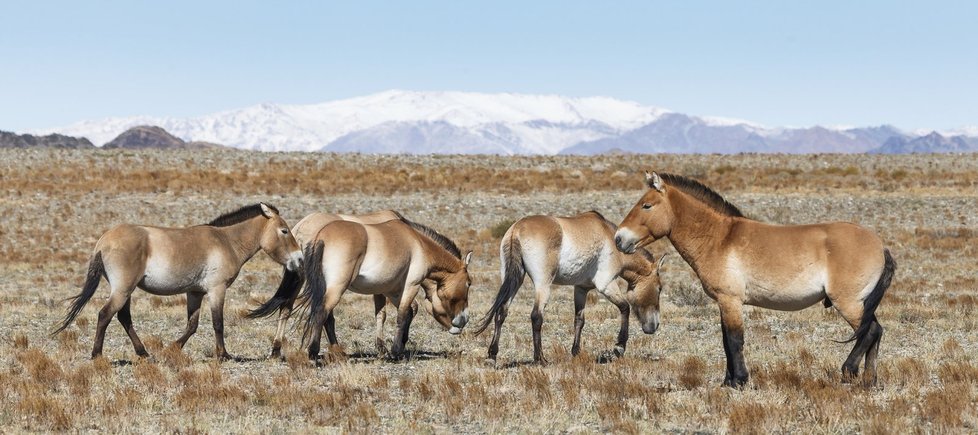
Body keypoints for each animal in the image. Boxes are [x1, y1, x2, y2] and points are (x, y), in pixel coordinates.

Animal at [53, 204, 302, 362]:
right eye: (284, 230)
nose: (299, 258)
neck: (226, 241)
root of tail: (104, 240)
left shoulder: (195, 293)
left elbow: (192, 325)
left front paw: (171, 349)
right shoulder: (216, 290)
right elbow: (218, 323)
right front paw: (223, 355)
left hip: (126, 290)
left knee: (123, 317)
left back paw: (144, 353)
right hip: (122, 289)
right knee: (105, 315)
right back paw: (97, 355)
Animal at [248, 210, 412, 358]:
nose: (404, 343)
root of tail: (302, 228)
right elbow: (385, 313)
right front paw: (384, 348)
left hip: (300, 277)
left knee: (287, 307)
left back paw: (277, 349)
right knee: (325, 314)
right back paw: (333, 350)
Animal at [298, 218, 468, 362]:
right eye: (469, 283)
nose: (464, 320)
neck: (419, 244)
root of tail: (321, 237)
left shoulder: (389, 291)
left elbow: (384, 315)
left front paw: (385, 349)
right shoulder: (411, 286)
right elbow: (403, 314)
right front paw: (396, 351)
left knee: (327, 317)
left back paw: (338, 352)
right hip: (337, 287)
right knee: (322, 312)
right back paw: (314, 352)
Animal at [470, 211, 664, 364]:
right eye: (660, 288)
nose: (653, 326)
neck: (611, 238)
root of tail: (516, 230)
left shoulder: (581, 289)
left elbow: (579, 320)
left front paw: (576, 352)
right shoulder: (606, 284)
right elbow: (625, 308)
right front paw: (619, 347)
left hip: (514, 279)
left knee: (501, 312)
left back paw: (492, 356)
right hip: (543, 284)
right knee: (536, 316)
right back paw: (540, 359)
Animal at [612, 173, 896, 388]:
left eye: (647, 205)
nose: (618, 239)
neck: (719, 238)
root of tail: (880, 245)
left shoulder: (731, 301)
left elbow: (735, 340)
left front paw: (739, 380)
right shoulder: (724, 303)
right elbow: (726, 341)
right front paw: (728, 381)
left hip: (848, 302)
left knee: (870, 331)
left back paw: (848, 371)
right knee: (876, 332)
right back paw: (869, 381)